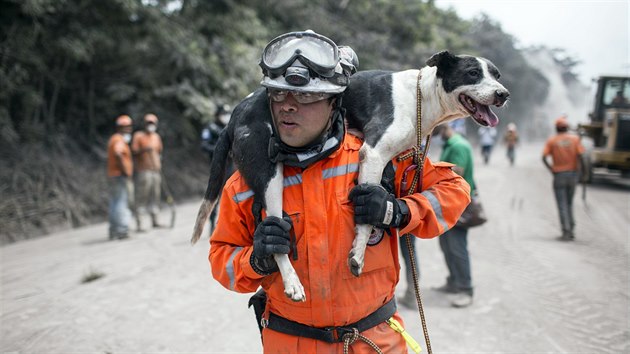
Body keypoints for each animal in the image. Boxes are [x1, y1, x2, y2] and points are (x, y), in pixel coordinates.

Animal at [191, 51, 508, 302]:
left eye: (496, 75)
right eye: (472, 73)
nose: (504, 94)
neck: (422, 97)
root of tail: (234, 116)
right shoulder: (374, 153)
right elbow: (365, 222)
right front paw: (357, 254)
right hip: (269, 176)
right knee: (274, 231)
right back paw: (292, 282)